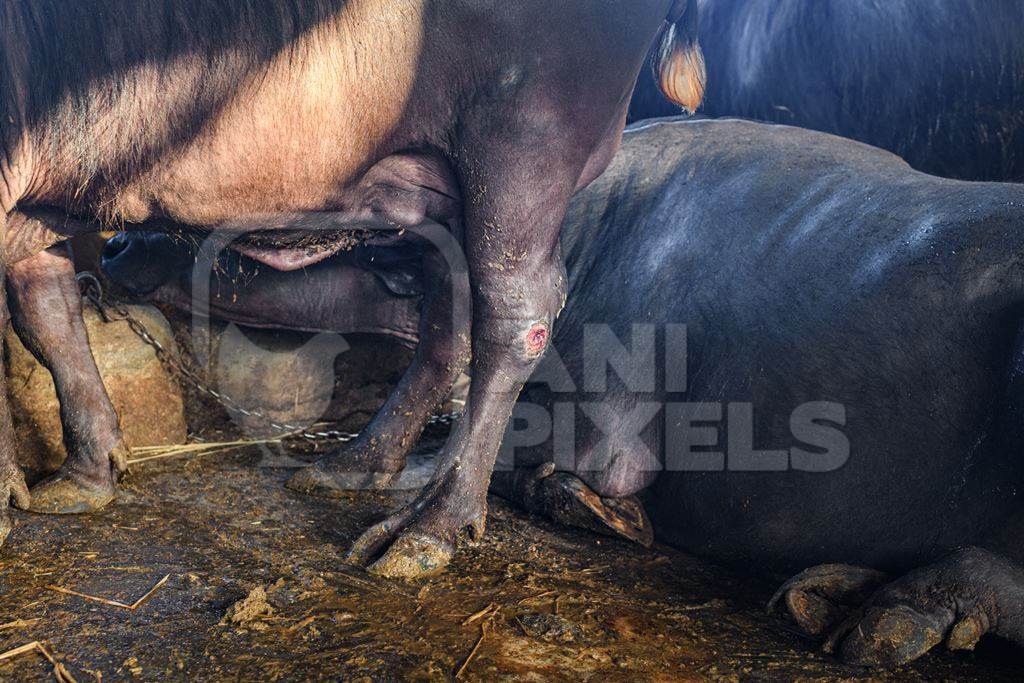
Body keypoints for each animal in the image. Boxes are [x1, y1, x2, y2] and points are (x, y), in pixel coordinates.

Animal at [103, 118, 1024, 667]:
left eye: (367, 249)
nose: (116, 245)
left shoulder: (601, 431)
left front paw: (590, 510)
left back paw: (892, 613)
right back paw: (829, 592)